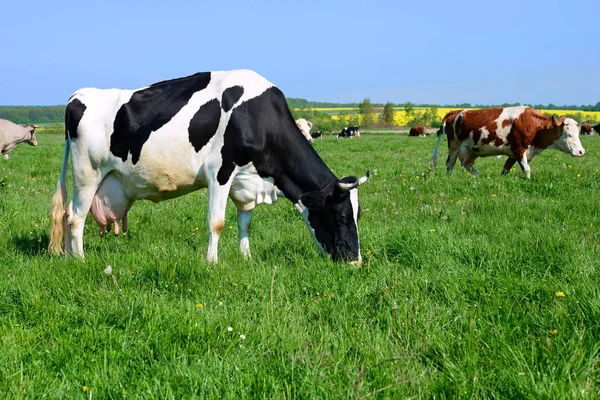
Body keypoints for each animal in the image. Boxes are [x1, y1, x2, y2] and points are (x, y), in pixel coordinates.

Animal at [50, 69, 370, 262]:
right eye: (342, 216)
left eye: (358, 215)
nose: (355, 260)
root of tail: (78, 95)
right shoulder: (220, 172)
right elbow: (216, 222)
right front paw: (212, 261)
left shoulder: (245, 181)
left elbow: (245, 222)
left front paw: (245, 258)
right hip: (87, 173)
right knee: (75, 218)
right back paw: (80, 259)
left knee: (66, 215)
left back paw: (66, 256)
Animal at [432, 108, 584, 180]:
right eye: (569, 134)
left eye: (578, 133)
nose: (581, 152)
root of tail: (457, 111)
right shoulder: (519, 149)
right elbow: (527, 169)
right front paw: (529, 181)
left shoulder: (514, 153)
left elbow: (505, 169)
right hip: (454, 145)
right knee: (450, 163)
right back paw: (449, 179)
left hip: (471, 149)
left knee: (467, 164)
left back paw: (479, 176)